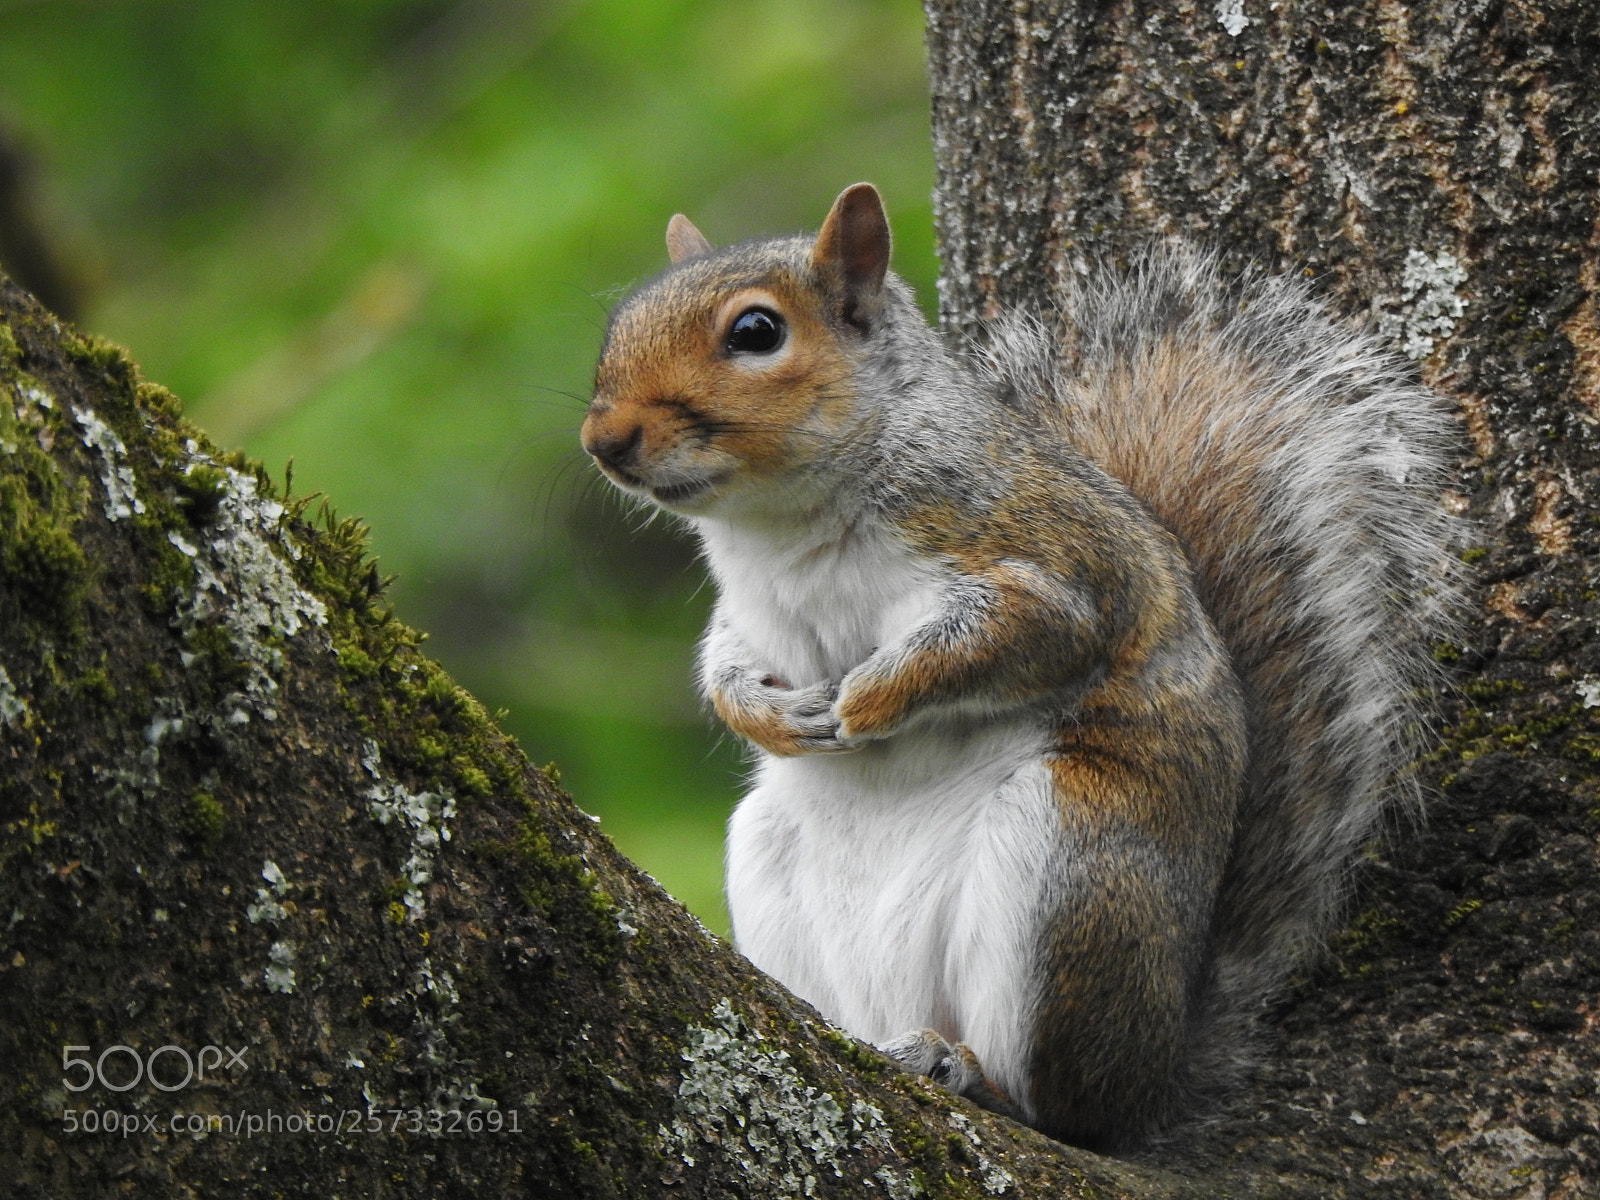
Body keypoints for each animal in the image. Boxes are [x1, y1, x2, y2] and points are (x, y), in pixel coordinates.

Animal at [580, 183, 1456, 1152]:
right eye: (617, 324)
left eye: (756, 332)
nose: (604, 438)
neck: (781, 527)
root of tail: (1156, 1076)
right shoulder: (748, 613)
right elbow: (723, 661)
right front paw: (771, 716)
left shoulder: (1049, 565)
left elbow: (1000, 639)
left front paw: (870, 698)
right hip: (773, 858)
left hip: (1069, 859)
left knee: (1063, 1112)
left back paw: (977, 1077)